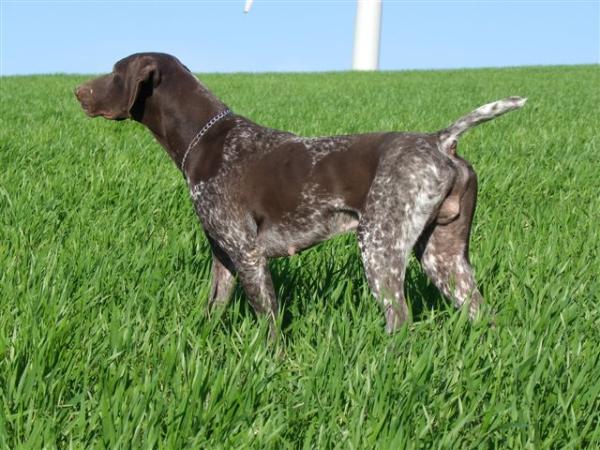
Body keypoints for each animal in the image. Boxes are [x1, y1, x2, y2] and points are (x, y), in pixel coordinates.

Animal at [74, 52, 524, 336]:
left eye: (115, 72)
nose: (77, 91)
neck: (209, 140)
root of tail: (439, 141)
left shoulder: (249, 256)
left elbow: (270, 326)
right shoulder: (224, 257)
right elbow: (212, 310)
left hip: (378, 249)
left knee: (400, 321)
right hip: (444, 258)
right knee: (482, 313)